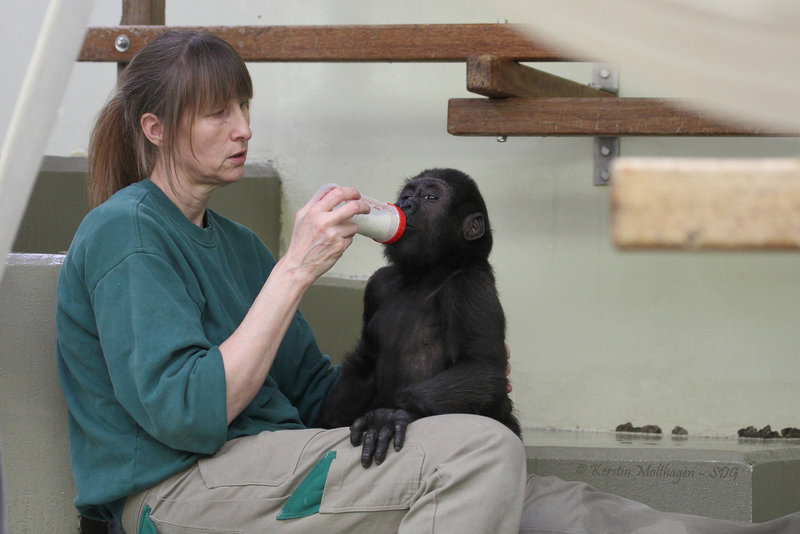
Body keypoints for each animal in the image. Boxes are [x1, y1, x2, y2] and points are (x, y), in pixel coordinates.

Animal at [318, 170, 520, 466]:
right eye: (407, 194)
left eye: (430, 197)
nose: (405, 205)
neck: (426, 274)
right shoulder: (378, 285)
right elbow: (366, 359)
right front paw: (330, 420)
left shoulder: (469, 286)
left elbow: (481, 367)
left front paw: (389, 414)